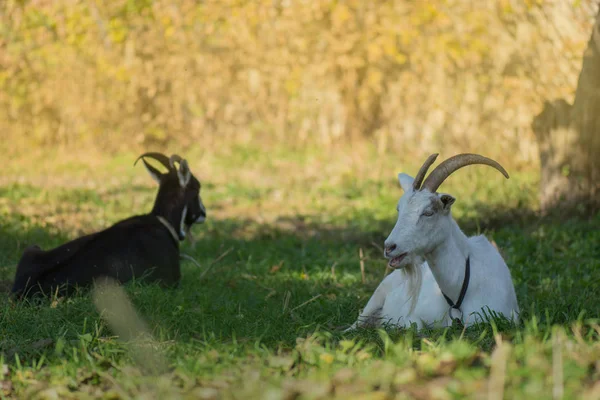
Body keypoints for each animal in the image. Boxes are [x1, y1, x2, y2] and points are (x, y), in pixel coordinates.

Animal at [11, 152, 206, 298]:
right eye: (197, 188)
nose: (204, 214)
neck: (162, 221)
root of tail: (29, 290)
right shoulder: (171, 281)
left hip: (32, 249)